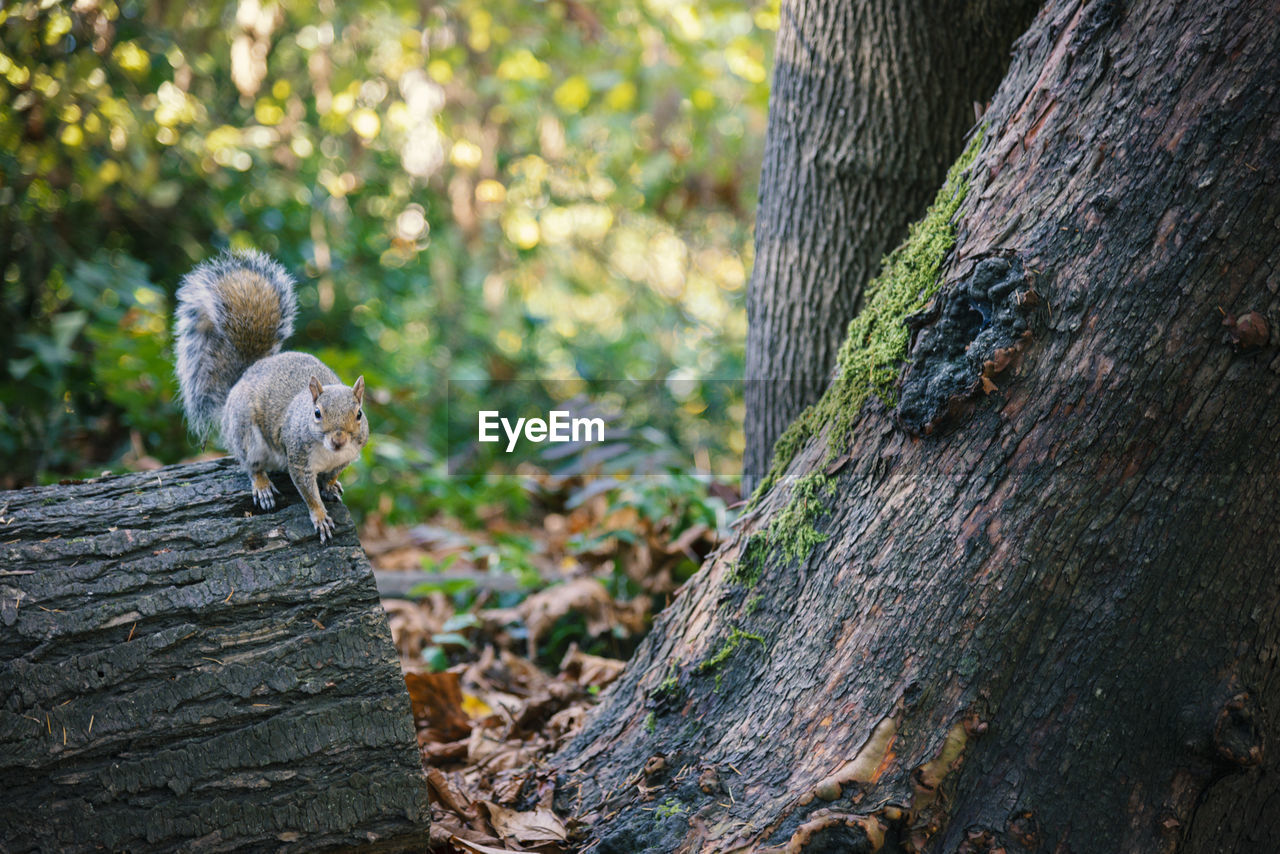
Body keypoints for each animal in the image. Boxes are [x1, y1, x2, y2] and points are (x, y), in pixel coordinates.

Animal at [174, 250, 371, 540]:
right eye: (317, 413)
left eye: (359, 414)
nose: (338, 441)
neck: (330, 454)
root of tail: (242, 378)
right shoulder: (298, 461)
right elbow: (308, 493)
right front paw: (320, 516)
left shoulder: (347, 457)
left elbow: (333, 475)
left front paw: (331, 485)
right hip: (246, 434)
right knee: (251, 464)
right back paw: (262, 486)